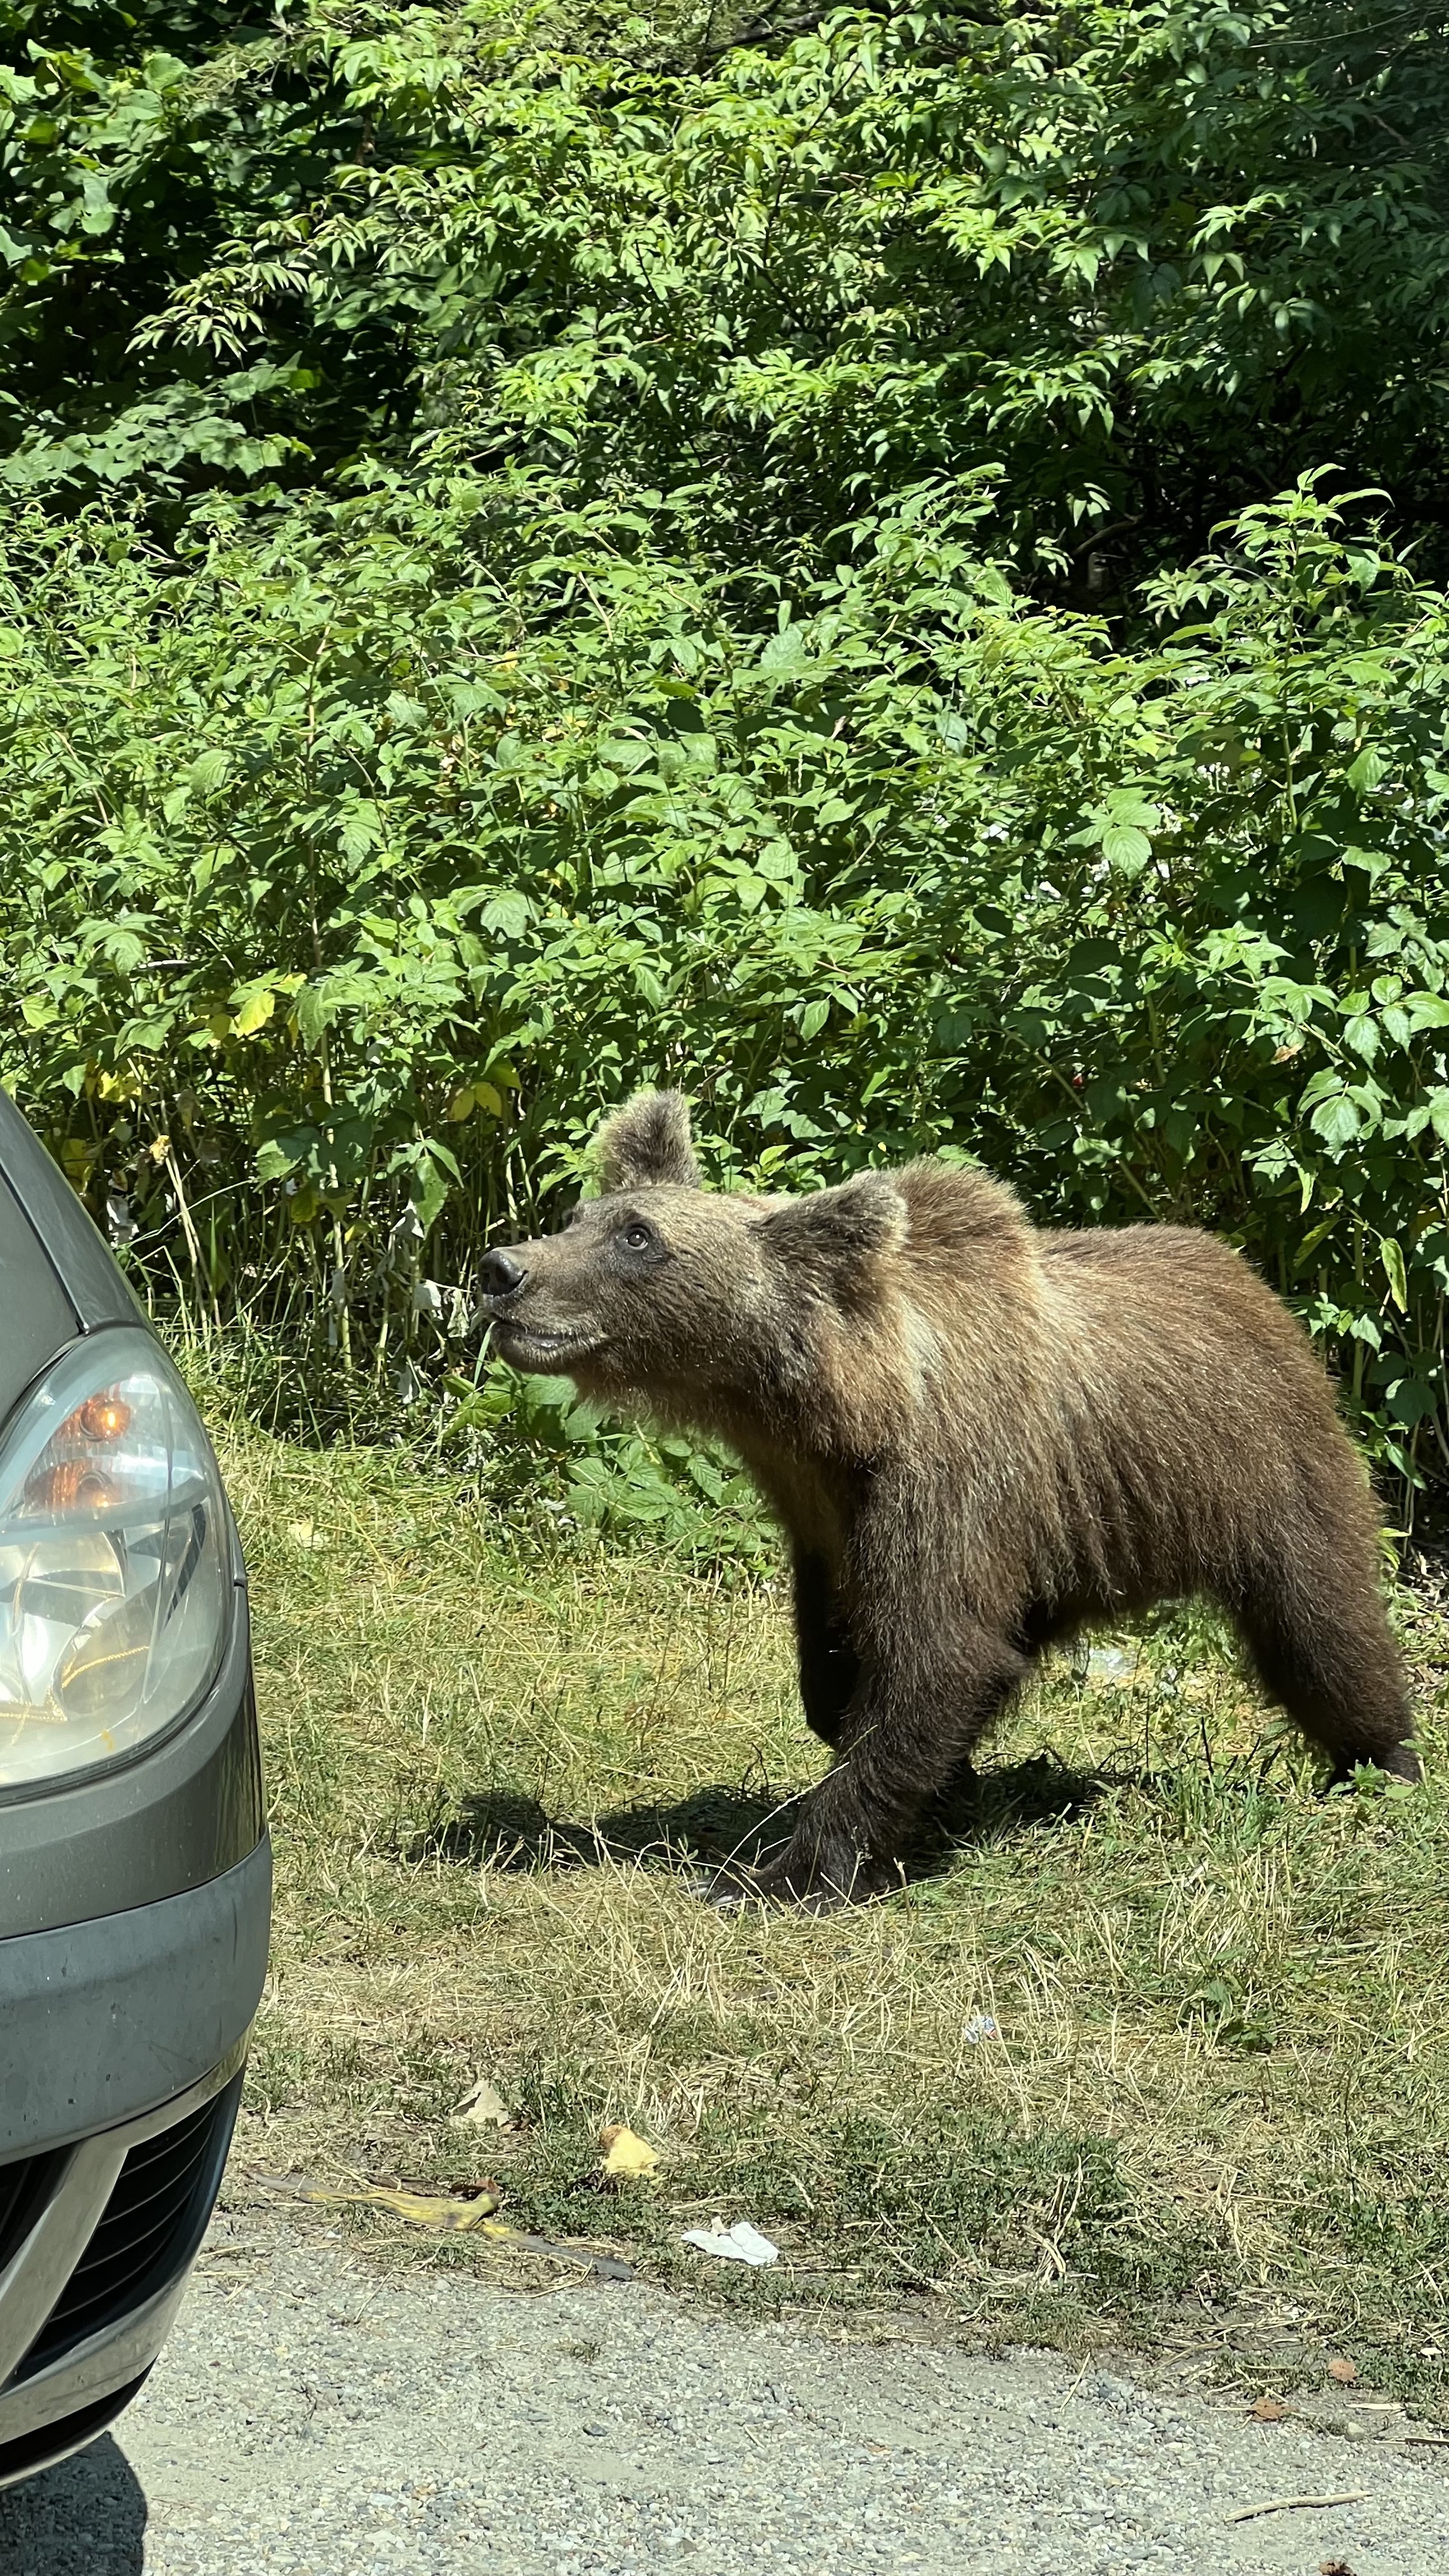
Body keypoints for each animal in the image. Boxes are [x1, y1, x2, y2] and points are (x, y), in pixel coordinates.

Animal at [477, 1089, 1419, 1907]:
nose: (502, 1269)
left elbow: (937, 1657)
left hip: (1264, 1469)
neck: (839, 1412)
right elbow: (846, 1666)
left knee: (1322, 1631)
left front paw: (779, 1874)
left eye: (638, 1236)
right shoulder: (824, 1514)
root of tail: (1257, 1285)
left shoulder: (953, 1481)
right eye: (583, 1217)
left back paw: (1381, 1769)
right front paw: (936, 1779)